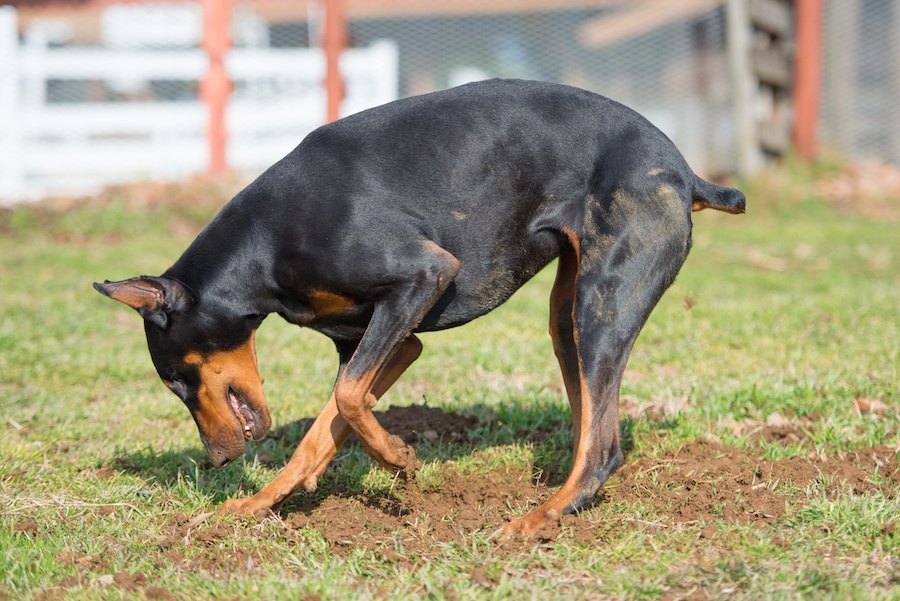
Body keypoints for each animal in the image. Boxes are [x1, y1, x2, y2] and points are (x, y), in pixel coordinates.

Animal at [93, 78, 744, 536]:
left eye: (177, 380)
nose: (218, 461)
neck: (265, 245)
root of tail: (685, 172)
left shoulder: (423, 277)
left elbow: (348, 397)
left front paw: (400, 461)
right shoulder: (386, 339)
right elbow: (330, 422)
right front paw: (258, 503)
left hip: (603, 302)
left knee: (604, 448)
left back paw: (539, 518)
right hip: (569, 318)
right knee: (592, 421)